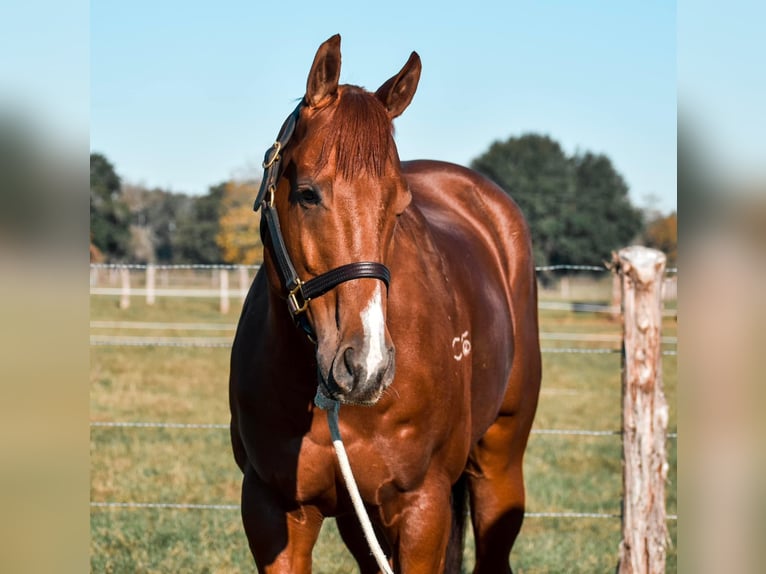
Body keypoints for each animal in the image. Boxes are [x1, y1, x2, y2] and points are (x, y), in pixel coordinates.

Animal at [231, 33, 544, 572]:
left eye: (399, 205)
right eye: (307, 193)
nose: (366, 366)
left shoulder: (422, 507)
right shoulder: (273, 511)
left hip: (500, 461)